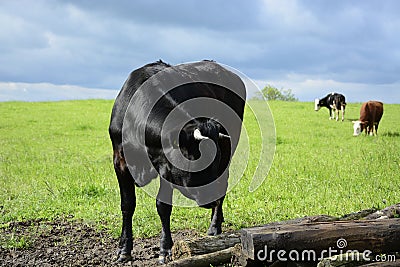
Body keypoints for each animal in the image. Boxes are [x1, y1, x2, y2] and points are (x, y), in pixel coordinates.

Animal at [109, 60, 247, 264]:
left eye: (213, 162)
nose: (211, 199)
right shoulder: (120, 161)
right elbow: (127, 205)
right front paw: (124, 250)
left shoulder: (165, 166)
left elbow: (163, 207)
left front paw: (165, 249)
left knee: (224, 184)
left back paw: (214, 227)